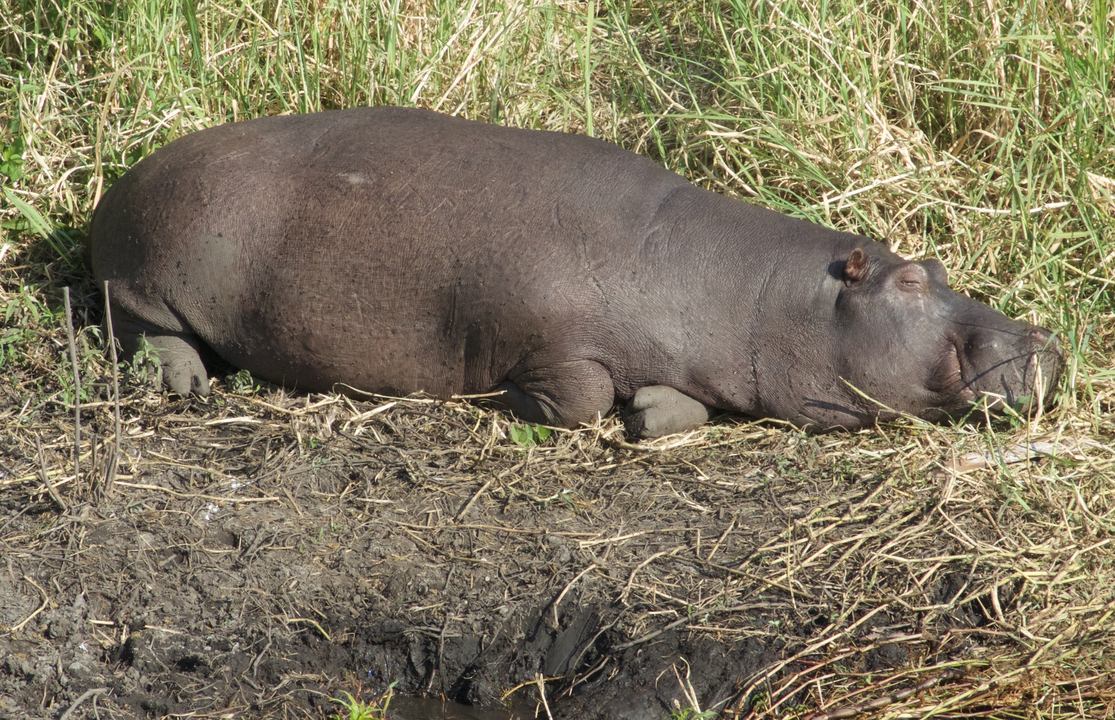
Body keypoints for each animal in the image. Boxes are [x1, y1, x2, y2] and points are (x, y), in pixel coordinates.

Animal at [89, 107, 1063, 438]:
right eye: (908, 284)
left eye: (931, 260)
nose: (1044, 338)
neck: (757, 294)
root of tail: (121, 181)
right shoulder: (552, 336)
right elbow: (578, 395)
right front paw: (518, 403)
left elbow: (663, 403)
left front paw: (654, 411)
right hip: (160, 268)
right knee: (135, 321)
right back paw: (183, 382)